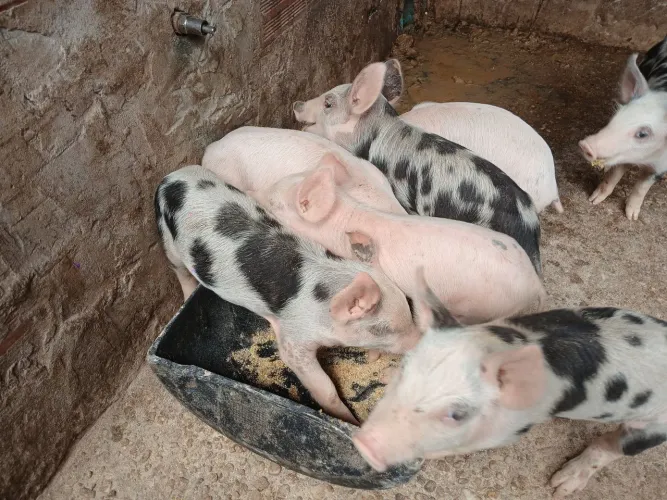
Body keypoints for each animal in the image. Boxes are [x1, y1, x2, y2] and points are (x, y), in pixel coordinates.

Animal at [154, 165, 420, 423]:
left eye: (409, 313)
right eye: (383, 329)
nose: (418, 342)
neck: (321, 304)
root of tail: (171, 177)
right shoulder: (293, 338)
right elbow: (323, 387)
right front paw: (350, 421)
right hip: (167, 240)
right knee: (180, 270)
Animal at [353, 268, 667, 497]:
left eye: (456, 414)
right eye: (405, 367)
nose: (363, 444)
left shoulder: (510, 430)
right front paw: (384, 375)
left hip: (653, 426)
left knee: (614, 445)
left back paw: (561, 485)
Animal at [579, 36, 667, 220]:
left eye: (643, 134)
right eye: (616, 116)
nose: (585, 145)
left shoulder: (660, 166)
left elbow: (642, 188)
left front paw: (631, 217)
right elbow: (613, 175)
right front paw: (593, 200)